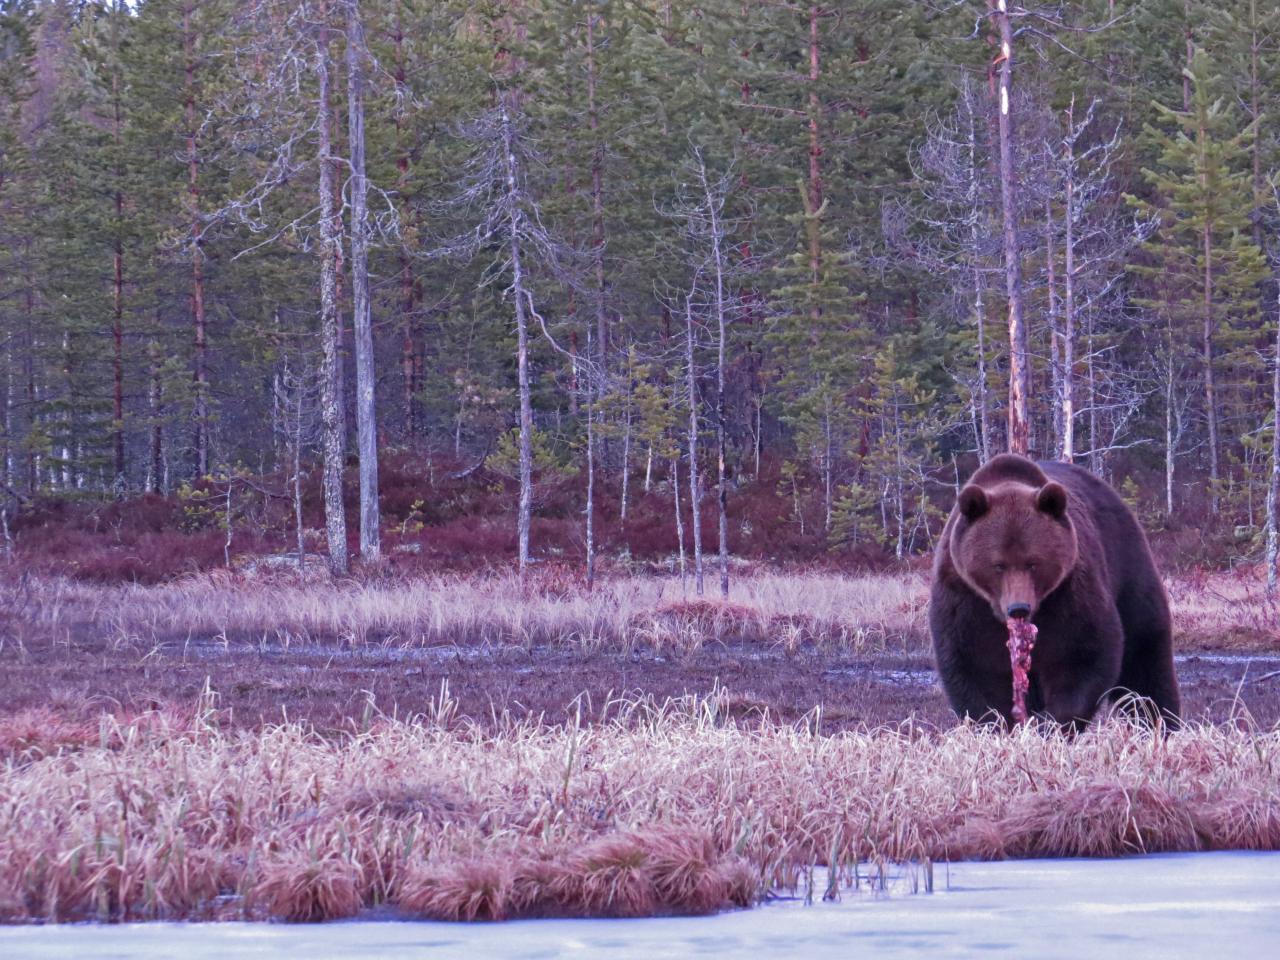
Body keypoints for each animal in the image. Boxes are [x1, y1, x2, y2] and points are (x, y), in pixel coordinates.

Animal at [931, 453, 1177, 727]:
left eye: (1033, 563)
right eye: (998, 565)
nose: (1018, 608)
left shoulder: (1069, 593)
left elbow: (1083, 654)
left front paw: (1049, 723)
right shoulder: (965, 601)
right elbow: (975, 667)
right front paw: (999, 721)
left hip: (1127, 564)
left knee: (1144, 658)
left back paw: (1159, 721)